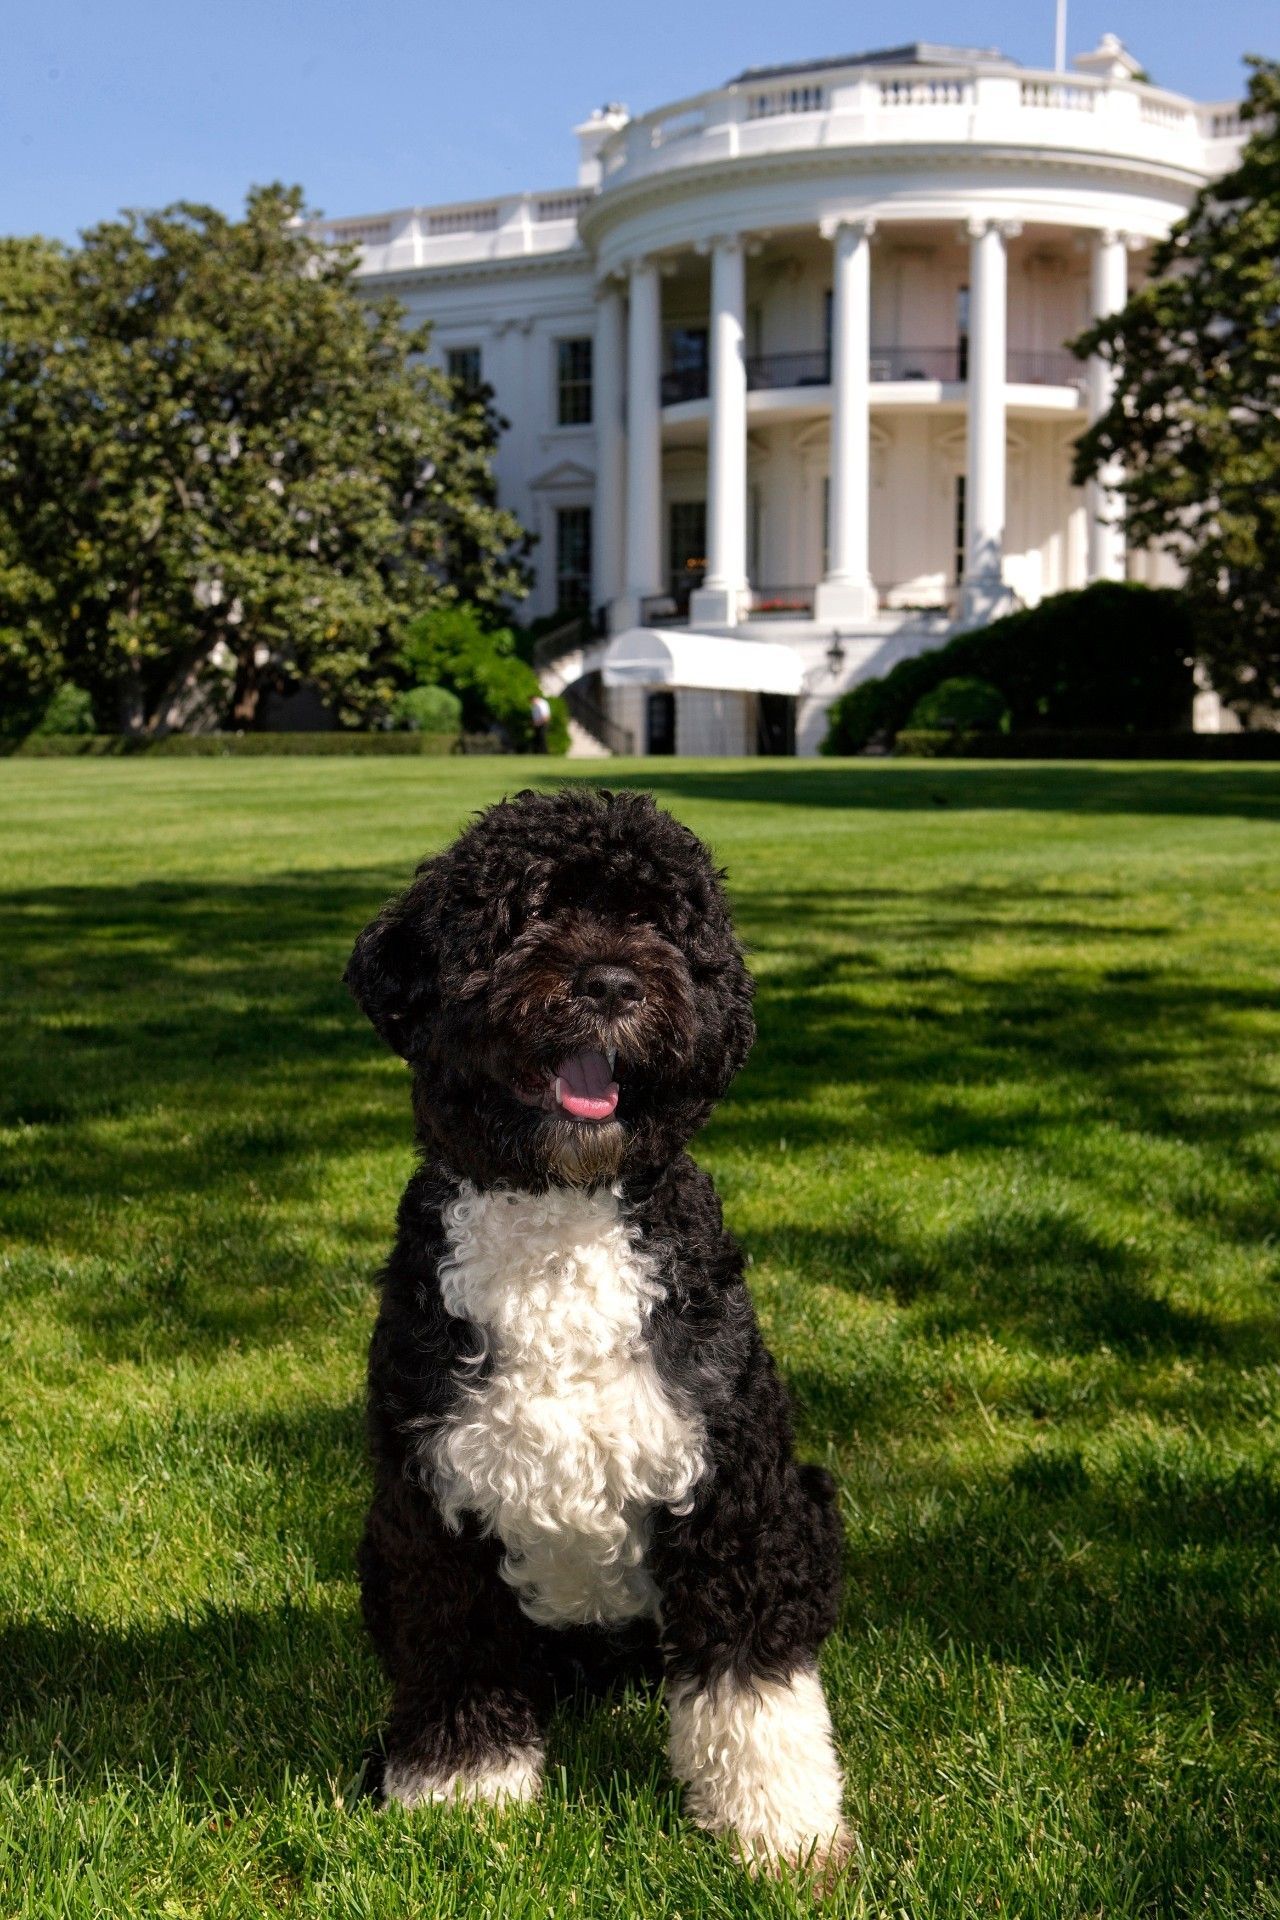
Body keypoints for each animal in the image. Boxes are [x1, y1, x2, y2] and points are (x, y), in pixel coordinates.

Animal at [351, 787, 852, 1866]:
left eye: (662, 922)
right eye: (525, 915)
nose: (613, 983)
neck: (560, 1216)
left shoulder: (734, 1498)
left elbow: (754, 1689)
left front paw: (782, 1826)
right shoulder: (432, 1510)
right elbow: (457, 1661)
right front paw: (459, 1793)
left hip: (810, 1503)